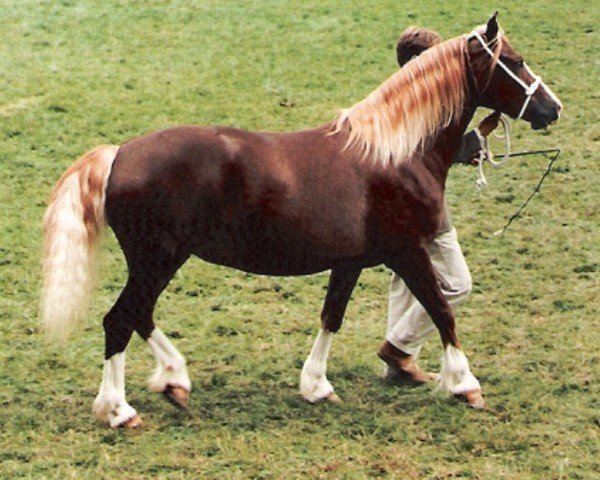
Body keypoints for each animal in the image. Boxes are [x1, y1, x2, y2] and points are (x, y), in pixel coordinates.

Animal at [39, 15, 560, 428]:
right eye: (514, 60)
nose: (552, 107)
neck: (396, 154)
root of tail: (119, 154)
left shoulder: (350, 261)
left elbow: (332, 317)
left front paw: (316, 386)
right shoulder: (408, 251)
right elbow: (442, 311)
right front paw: (465, 385)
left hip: (158, 262)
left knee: (139, 316)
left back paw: (174, 381)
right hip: (158, 260)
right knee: (119, 320)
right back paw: (119, 410)